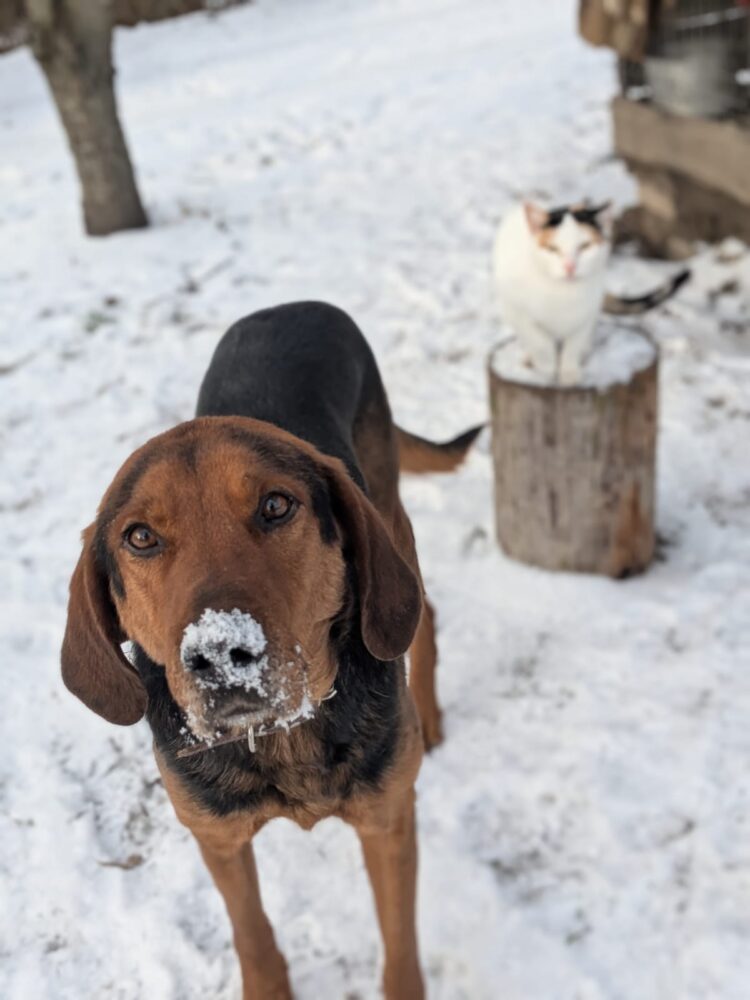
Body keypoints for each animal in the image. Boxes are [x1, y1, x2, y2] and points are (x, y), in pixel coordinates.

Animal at [61, 301, 482, 999]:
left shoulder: (389, 820)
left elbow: (399, 944)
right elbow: (251, 932)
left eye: (277, 505)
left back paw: (428, 712)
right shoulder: (216, 837)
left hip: (391, 522)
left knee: (419, 614)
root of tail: (293, 305)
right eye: (140, 537)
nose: (219, 654)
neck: (283, 736)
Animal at [492, 200, 689, 384]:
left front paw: (569, 373)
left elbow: (573, 345)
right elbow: (539, 341)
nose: (570, 267)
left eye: (584, 246)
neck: (562, 294)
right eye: (553, 249)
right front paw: (547, 367)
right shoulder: (516, 311)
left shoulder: (586, 313)